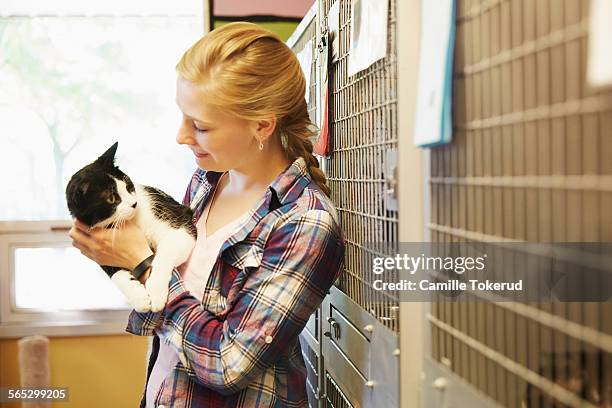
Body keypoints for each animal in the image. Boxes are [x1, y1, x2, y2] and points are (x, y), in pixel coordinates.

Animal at [65, 143, 195, 312]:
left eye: (127, 185)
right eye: (111, 198)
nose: (134, 203)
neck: (131, 220)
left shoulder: (180, 221)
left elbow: (165, 254)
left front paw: (156, 291)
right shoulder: (96, 247)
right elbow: (112, 270)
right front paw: (138, 297)